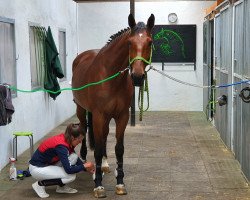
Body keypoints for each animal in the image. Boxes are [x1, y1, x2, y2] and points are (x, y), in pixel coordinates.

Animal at [71, 13, 155, 198]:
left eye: (150, 42)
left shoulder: (121, 116)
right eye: (129, 42)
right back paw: (86, 161)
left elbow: (119, 148)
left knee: (103, 137)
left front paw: (120, 182)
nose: (137, 77)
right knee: (84, 130)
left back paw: (104, 165)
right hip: (81, 109)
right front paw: (98, 185)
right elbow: (97, 148)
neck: (111, 76)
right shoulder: (99, 115)